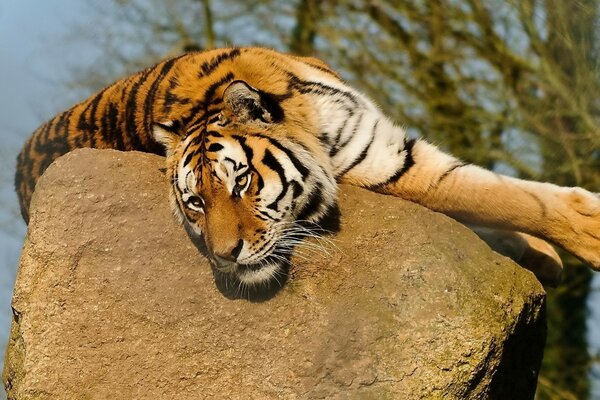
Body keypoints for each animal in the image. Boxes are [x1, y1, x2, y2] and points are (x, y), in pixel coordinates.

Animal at [15, 47, 600, 288]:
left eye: (242, 181)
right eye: (195, 202)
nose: (224, 256)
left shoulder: (386, 147)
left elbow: (501, 196)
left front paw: (547, 253)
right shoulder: (391, 168)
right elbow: (501, 198)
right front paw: (584, 236)